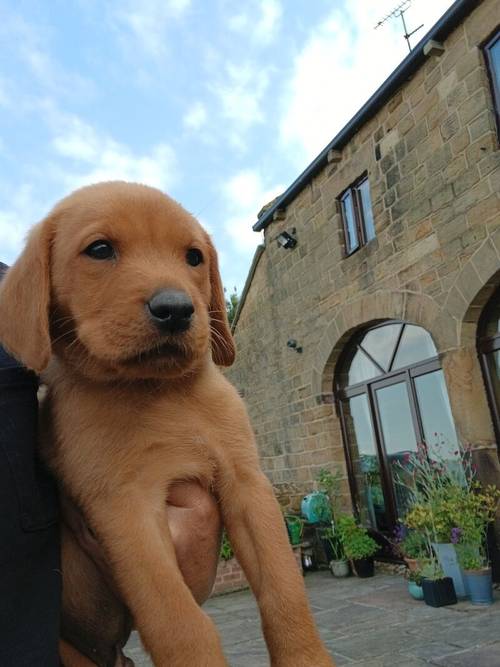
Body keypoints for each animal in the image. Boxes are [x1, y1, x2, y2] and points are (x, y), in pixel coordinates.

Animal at [0, 181, 336, 667]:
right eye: (99, 249)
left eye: (194, 257)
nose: (176, 309)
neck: (159, 392)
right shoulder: (126, 510)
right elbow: (180, 626)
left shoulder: (247, 486)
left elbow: (285, 591)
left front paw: (304, 656)